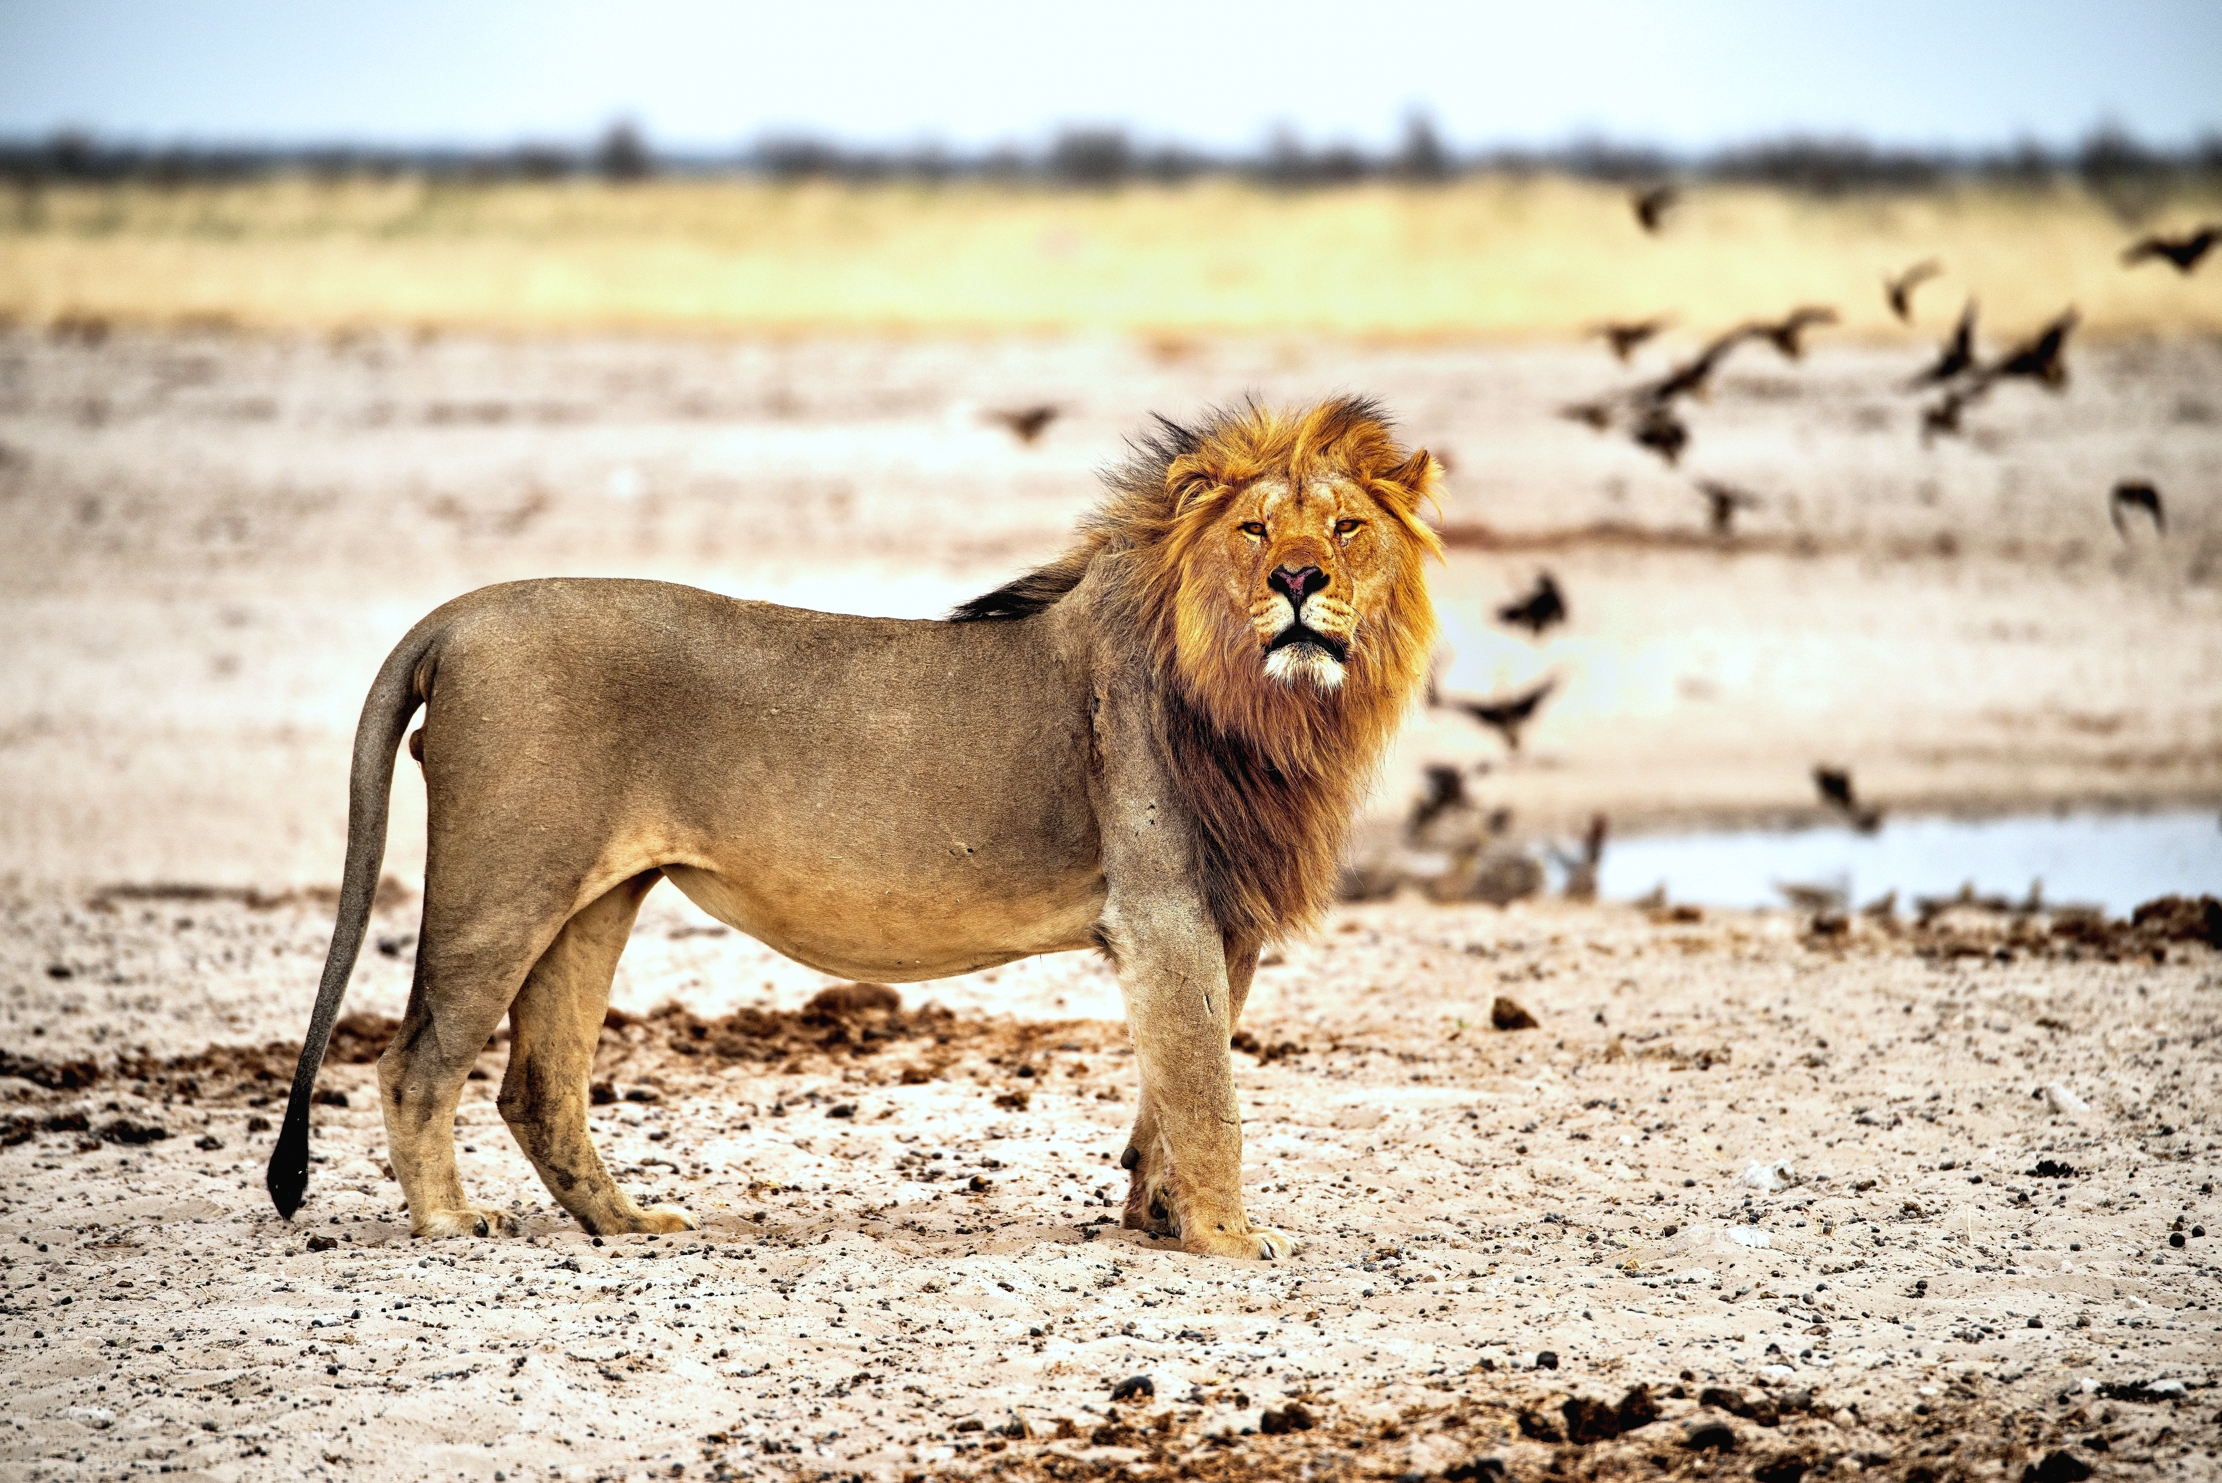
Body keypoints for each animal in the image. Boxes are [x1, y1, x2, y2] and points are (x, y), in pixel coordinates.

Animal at [266, 396, 1441, 1260]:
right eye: (1254, 529)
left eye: (1347, 527)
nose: (1299, 579)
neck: (1267, 709)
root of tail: (455, 617)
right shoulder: (1163, 912)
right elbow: (1207, 1093)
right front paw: (1230, 1241)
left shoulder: (1220, 923)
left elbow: (1169, 1091)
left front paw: (1156, 1222)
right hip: (503, 883)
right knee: (417, 1059)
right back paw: (449, 1222)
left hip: (593, 898)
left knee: (536, 1084)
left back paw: (627, 1222)